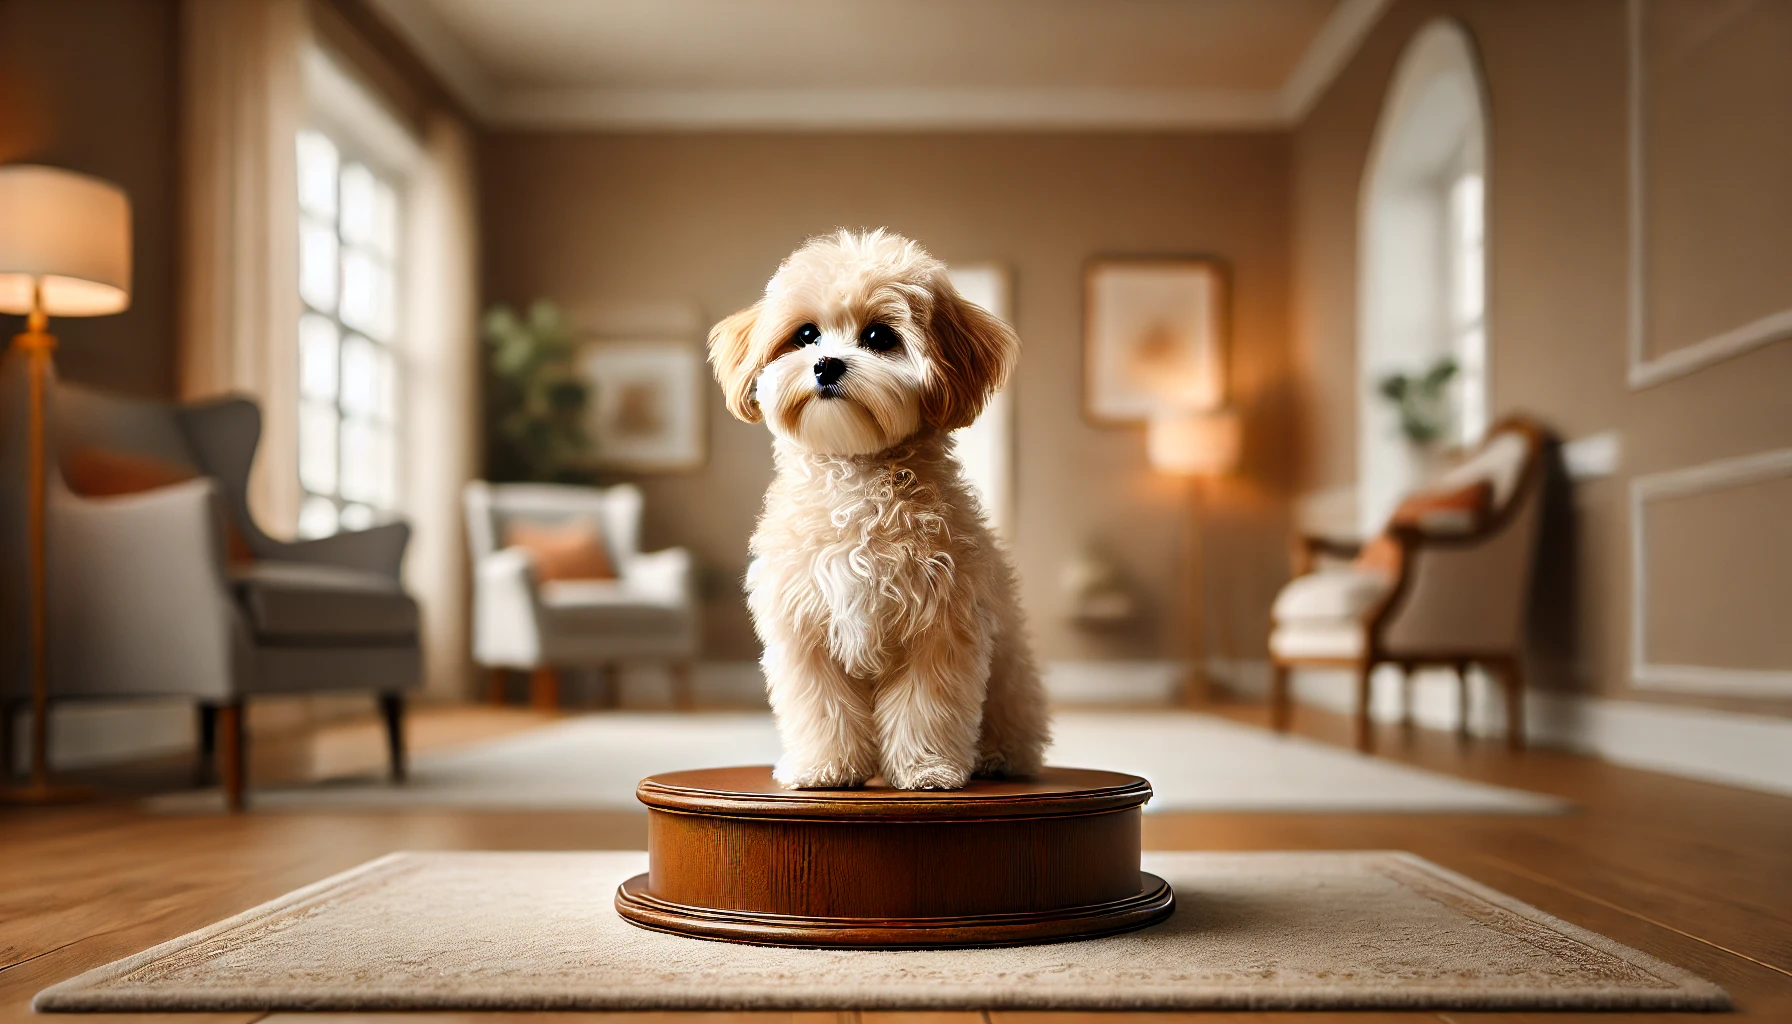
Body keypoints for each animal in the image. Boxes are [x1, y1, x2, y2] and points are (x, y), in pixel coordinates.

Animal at [709, 229, 1046, 792]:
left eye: (879, 336)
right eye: (806, 334)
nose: (826, 363)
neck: (856, 479)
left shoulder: (941, 626)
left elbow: (925, 706)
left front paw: (927, 769)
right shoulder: (805, 631)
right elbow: (821, 708)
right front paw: (825, 768)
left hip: (1012, 678)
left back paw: (998, 756)